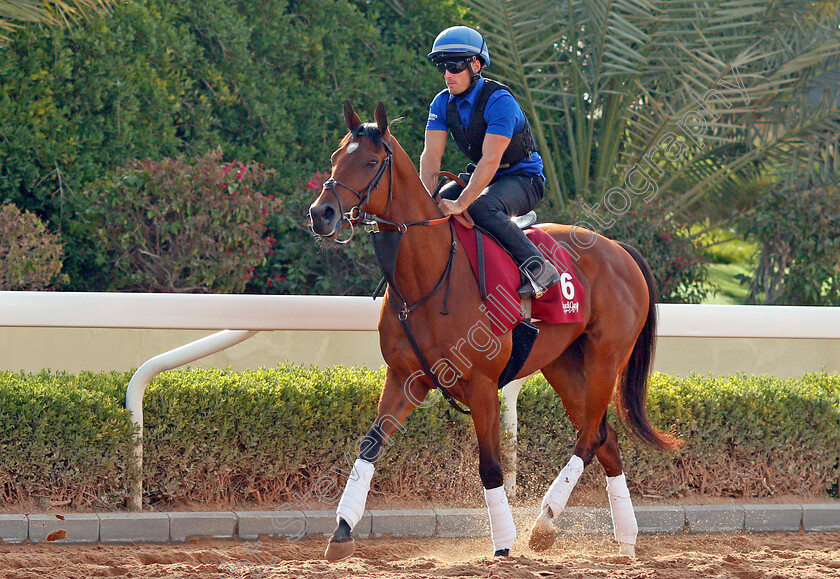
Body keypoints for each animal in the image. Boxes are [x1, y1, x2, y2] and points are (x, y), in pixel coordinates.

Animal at [308, 101, 684, 560]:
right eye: (335, 157)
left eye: (370, 162)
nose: (321, 213)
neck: (430, 273)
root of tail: (621, 251)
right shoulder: (405, 378)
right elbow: (370, 444)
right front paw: (342, 529)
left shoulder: (483, 386)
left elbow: (490, 467)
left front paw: (504, 543)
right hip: (564, 366)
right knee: (606, 439)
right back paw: (625, 540)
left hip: (604, 359)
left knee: (590, 437)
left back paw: (544, 525)